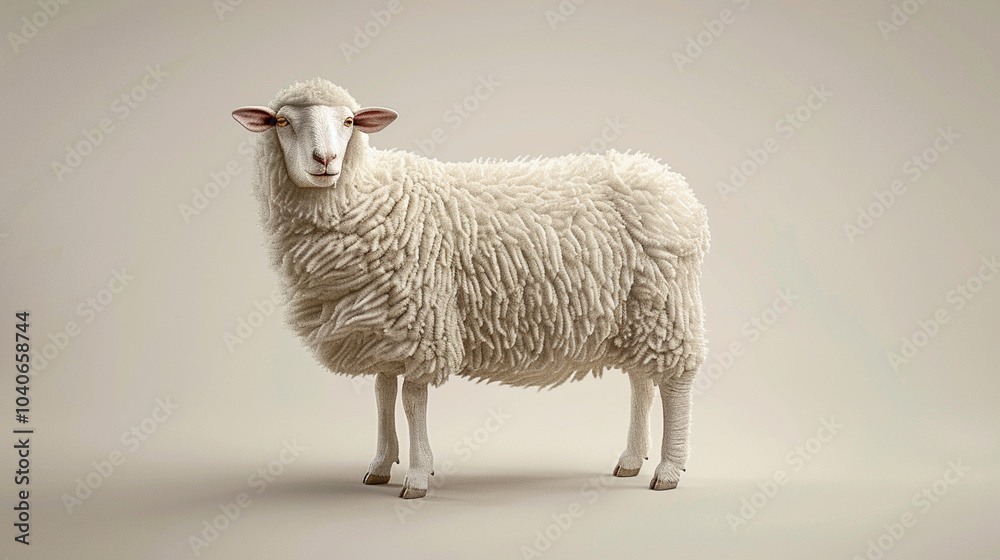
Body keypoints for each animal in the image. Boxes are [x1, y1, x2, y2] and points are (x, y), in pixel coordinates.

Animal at [232, 78, 710, 499]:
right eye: (282, 122)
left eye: (349, 121)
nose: (326, 159)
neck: (367, 196)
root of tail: (674, 187)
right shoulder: (385, 325)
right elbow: (383, 393)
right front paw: (381, 465)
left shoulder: (424, 322)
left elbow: (412, 400)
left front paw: (417, 477)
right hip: (639, 309)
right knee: (642, 380)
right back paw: (630, 460)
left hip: (667, 303)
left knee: (676, 382)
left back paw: (667, 470)